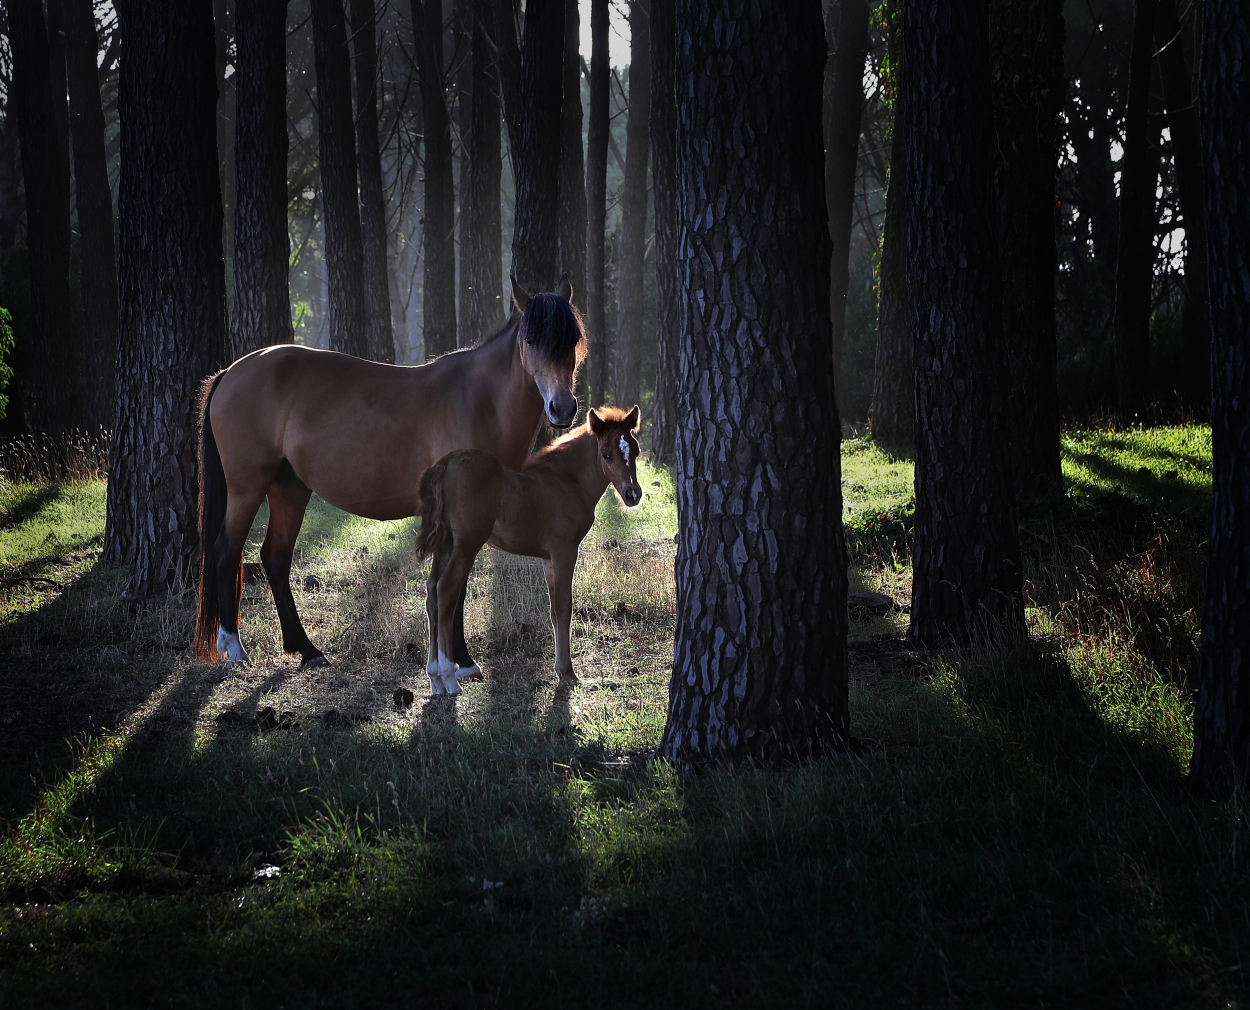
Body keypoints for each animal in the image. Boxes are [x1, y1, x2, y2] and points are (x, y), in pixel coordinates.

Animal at [193, 276, 585, 675]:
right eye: (531, 339)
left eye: (572, 340)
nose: (562, 408)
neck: (479, 400)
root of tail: (232, 371)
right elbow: (453, 587)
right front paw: (461, 660)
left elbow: (452, 586)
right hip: (247, 487)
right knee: (227, 552)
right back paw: (235, 648)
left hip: (289, 489)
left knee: (275, 558)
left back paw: (307, 649)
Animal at [417, 405, 640, 695]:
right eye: (606, 454)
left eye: (635, 450)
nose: (633, 494)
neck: (566, 483)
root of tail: (444, 464)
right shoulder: (565, 550)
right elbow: (564, 607)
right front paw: (569, 674)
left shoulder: (548, 558)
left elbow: (554, 611)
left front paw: (561, 670)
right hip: (467, 543)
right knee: (446, 590)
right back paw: (449, 678)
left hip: (446, 543)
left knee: (432, 591)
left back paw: (434, 679)